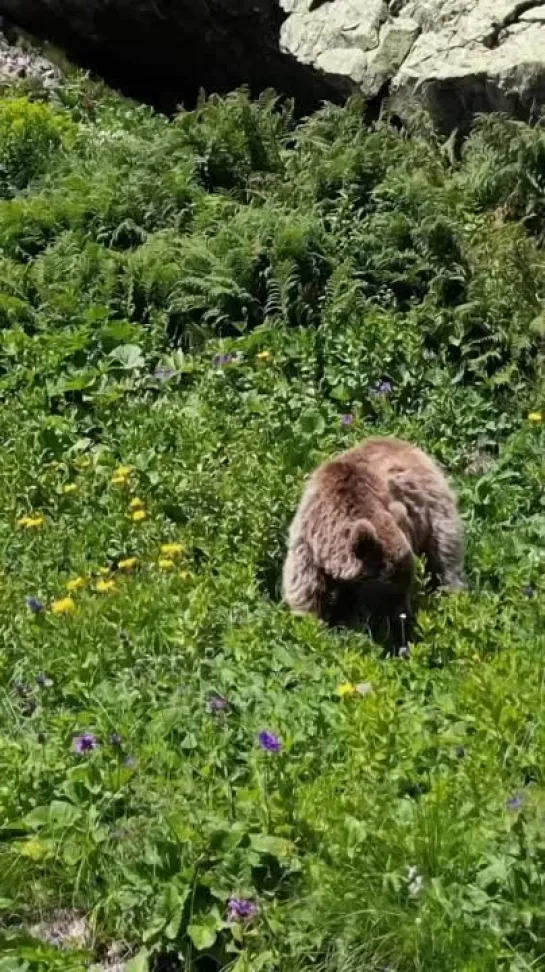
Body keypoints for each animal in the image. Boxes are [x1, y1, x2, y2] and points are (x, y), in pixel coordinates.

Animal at [282, 436, 466, 648]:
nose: (404, 620)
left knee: (444, 558)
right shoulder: (308, 543)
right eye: (389, 590)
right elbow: (305, 588)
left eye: (406, 586)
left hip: (433, 512)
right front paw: (312, 627)